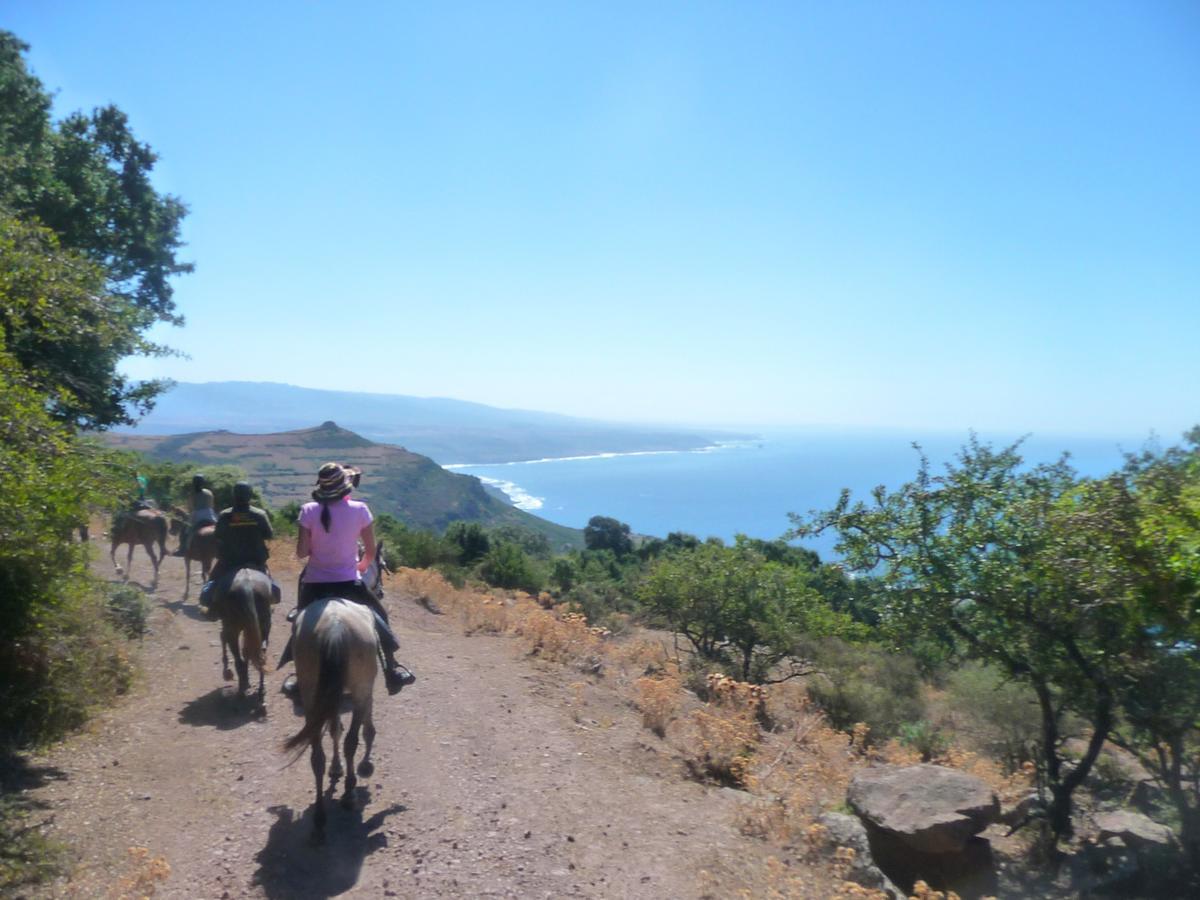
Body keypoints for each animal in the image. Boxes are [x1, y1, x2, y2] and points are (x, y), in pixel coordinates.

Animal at [218, 571, 272, 705]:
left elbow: (223, 637)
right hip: (264, 626)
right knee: (261, 655)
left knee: (238, 660)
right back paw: (260, 691)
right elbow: (247, 652)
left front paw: (227, 670)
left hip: (233, 627)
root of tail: (246, 586)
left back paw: (241, 692)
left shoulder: (228, 625)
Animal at [282, 547, 386, 849]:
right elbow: (365, 728)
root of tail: (335, 625)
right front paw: (364, 766)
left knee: (317, 754)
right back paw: (350, 794)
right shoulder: (365, 689)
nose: (381, 591)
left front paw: (336, 769)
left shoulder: (333, 696)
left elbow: (334, 730)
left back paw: (319, 821)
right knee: (351, 740)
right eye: (384, 564)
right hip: (359, 687)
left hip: (311, 692)